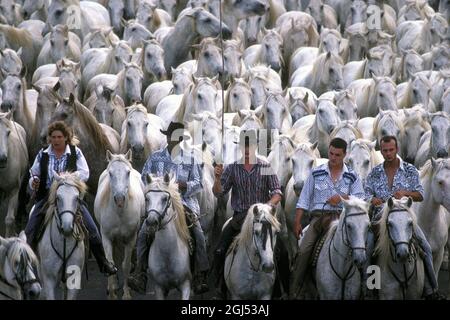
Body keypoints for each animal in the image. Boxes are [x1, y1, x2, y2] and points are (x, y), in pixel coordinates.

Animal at [93, 150, 144, 300]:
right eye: (110, 173)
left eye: (128, 172)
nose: (120, 199)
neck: (120, 212)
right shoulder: (106, 237)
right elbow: (110, 263)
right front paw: (112, 293)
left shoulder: (130, 238)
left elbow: (126, 265)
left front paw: (126, 293)